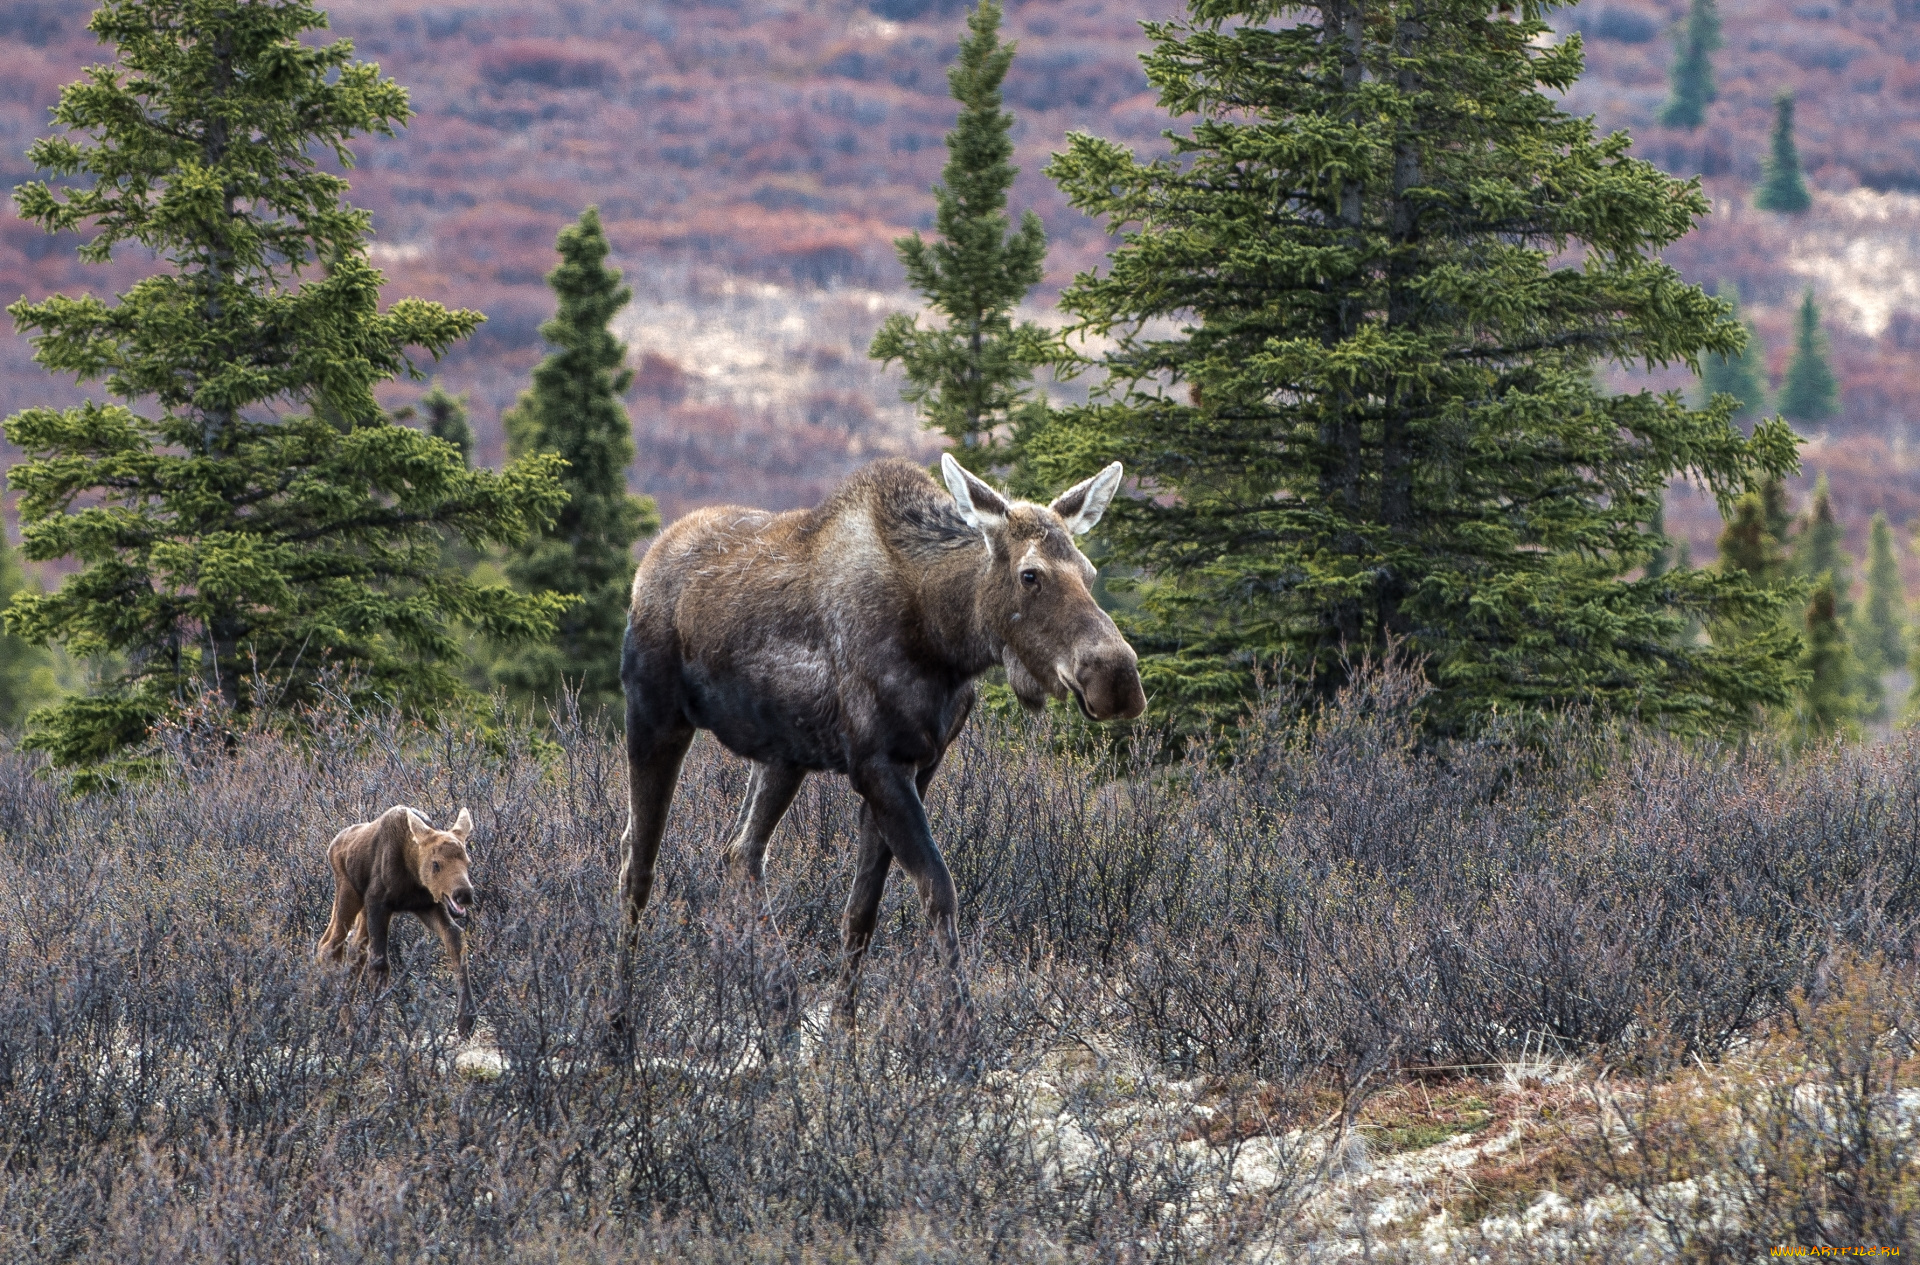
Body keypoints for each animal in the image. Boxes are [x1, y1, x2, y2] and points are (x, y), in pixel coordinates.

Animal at [316, 802, 478, 1036]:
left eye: (468, 861)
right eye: (436, 864)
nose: (463, 894)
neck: (412, 874)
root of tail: (332, 846)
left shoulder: (428, 905)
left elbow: (455, 940)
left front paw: (466, 1020)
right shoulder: (378, 904)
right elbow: (379, 964)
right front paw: (373, 1030)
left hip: (362, 907)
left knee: (354, 947)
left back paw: (340, 1026)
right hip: (348, 892)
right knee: (329, 946)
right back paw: (350, 1025)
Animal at [622, 454, 1144, 1028]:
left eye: (1090, 573)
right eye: (1031, 575)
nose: (1117, 678)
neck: (945, 638)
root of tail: (648, 563)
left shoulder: (919, 764)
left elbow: (862, 911)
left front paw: (843, 1034)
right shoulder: (879, 765)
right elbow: (939, 890)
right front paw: (962, 1028)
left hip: (782, 757)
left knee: (740, 853)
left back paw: (779, 1002)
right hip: (654, 717)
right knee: (637, 862)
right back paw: (618, 1011)